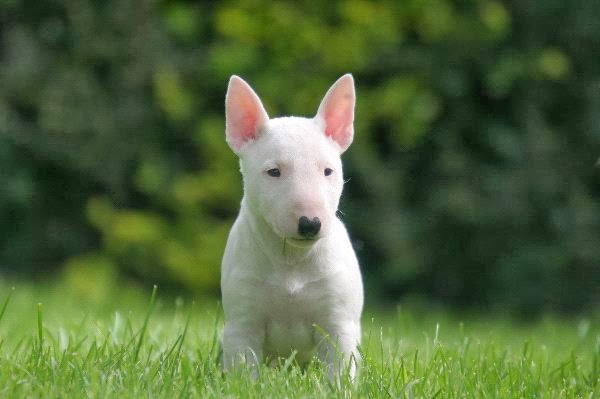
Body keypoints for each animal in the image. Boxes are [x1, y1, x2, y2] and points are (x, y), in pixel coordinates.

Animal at [219, 73, 360, 380]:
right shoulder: (242, 325)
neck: (291, 259)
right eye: (274, 172)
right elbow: (244, 371)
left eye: (328, 171)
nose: (310, 224)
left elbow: (340, 370)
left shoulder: (338, 325)